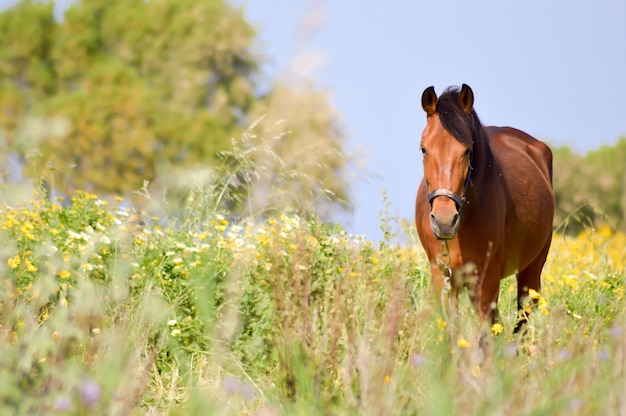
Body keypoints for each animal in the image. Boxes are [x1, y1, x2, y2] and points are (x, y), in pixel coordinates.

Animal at [414, 83, 552, 332]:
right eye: (424, 149)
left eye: (467, 150)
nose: (444, 221)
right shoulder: (443, 278)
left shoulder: (486, 281)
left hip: (532, 270)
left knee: (523, 318)